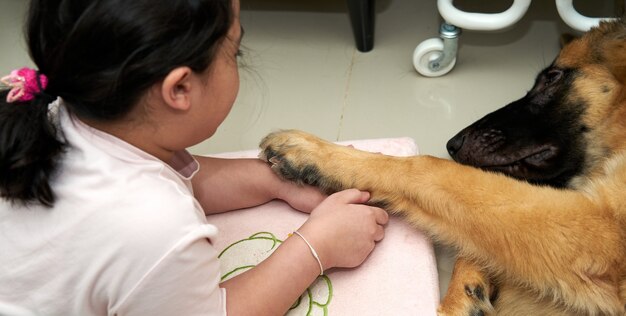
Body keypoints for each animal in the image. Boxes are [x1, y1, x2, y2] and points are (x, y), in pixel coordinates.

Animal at [258, 20, 624, 316]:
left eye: (553, 78)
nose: (453, 144)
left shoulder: (599, 227)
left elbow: (431, 169)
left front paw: (316, 153)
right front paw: (464, 292)